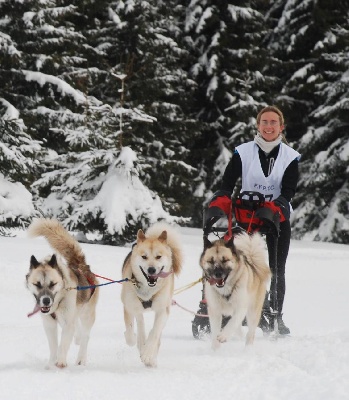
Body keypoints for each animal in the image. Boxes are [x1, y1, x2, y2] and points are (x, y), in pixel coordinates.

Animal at [25, 219, 98, 368]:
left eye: (53, 284)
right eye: (37, 284)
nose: (46, 300)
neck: (57, 303)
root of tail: (82, 266)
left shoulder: (67, 323)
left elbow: (62, 345)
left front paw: (60, 362)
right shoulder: (49, 324)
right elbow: (53, 346)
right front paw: (51, 363)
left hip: (87, 315)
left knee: (85, 336)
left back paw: (81, 358)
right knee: (78, 332)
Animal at [120, 223, 182, 368]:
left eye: (158, 257)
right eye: (144, 257)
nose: (152, 269)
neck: (148, 290)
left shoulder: (163, 310)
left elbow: (154, 332)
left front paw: (148, 354)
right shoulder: (130, 306)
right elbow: (132, 330)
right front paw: (136, 340)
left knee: (157, 336)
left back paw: (151, 358)